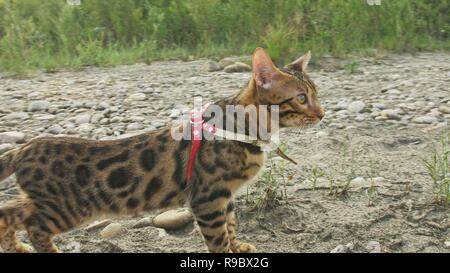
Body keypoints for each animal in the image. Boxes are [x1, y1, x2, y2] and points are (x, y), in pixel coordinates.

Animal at [0, 47, 324, 253]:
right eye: (301, 98)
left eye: (316, 95)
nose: (322, 114)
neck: (246, 126)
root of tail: (23, 149)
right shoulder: (207, 198)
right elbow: (218, 239)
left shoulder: (225, 196)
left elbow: (231, 226)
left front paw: (238, 246)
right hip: (69, 208)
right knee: (33, 225)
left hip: (49, 203)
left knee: (8, 211)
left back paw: (17, 248)